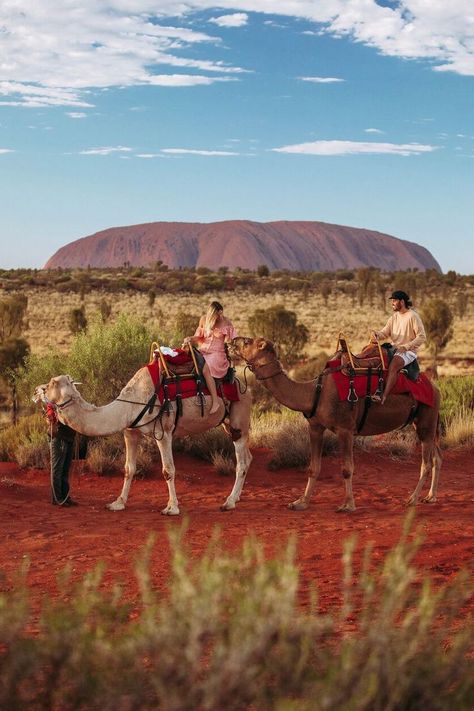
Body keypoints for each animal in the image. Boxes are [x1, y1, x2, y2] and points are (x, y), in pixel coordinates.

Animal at [34, 370, 254, 516]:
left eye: (52, 383)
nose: (36, 390)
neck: (131, 404)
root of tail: (246, 387)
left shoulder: (163, 432)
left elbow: (168, 470)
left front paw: (172, 508)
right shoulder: (130, 431)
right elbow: (128, 468)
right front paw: (118, 503)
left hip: (238, 420)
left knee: (242, 461)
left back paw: (229, 502)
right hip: (227, 423)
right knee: (248, 457)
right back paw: (237, 497)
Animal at [230, 340, 440, 512]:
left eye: (248, 342)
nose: (232, 341)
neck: (314, 392)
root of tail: (435, 388)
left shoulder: (345, 429)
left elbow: (346, 468)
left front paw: (348, 505)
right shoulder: (315, 427)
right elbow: (313, 467)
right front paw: (301, 502)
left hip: (426, 421)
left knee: (427, 463)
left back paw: (412, 499)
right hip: (425, 423)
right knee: (437, 457)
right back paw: (430, 497)